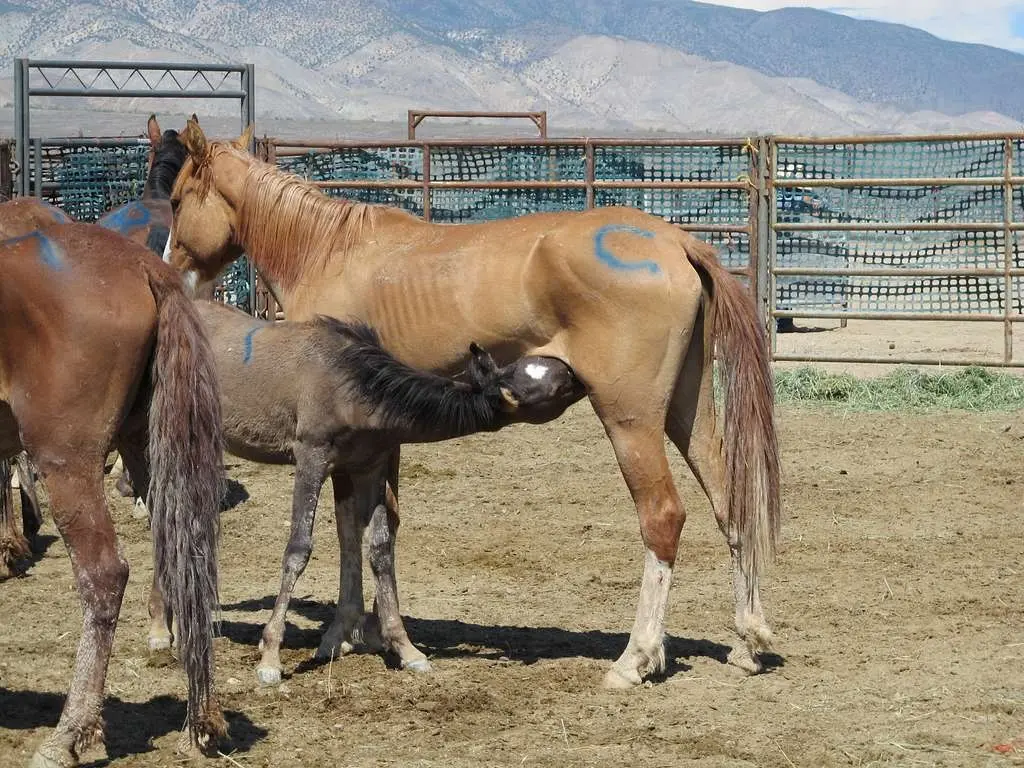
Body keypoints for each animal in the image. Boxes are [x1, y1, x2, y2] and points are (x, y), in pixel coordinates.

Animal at [1, 221, 226, 765]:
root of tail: (142, 264)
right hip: (148, 447)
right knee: (186, 555)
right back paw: (202, 718)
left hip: (66, 460)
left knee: (104, 575)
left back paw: (68, 734)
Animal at [165, 118, 782, 684]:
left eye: (173, 200)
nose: (171, 273)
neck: (330, 251)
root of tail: (675, 241)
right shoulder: (373, 436)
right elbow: (369, 526)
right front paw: (367, 631)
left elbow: (355, 526)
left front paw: (351, 633)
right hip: (686, 410)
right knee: (730, 505)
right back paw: (747, 641)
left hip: (630, 420)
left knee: (662, 517)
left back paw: (636, 658)